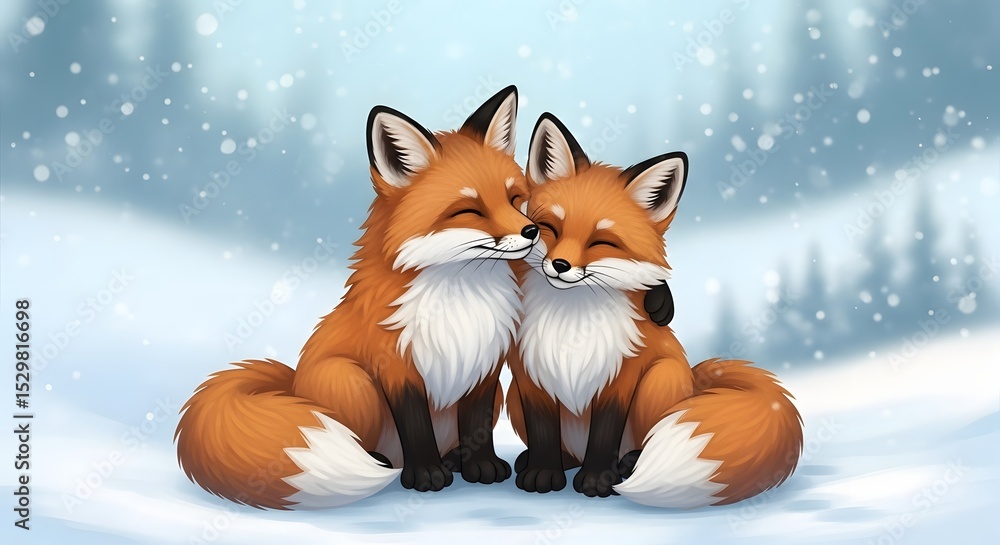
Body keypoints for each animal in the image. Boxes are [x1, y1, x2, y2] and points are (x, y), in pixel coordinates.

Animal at [176, 86, 538, 509]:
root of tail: (293, 385)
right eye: (469, 210)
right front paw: (426, 475)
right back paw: (385, 463)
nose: (532, 232)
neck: (460, 294)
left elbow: (476, 424)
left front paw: (481, 466)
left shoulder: (484, 366)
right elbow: (416, 426)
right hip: (353, 381)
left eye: (514, 199)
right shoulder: (396, 366)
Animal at [506, 113, 803, 507]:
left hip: (659, 379)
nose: (559, 265)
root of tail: (694, 381)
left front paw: (598, 480)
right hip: (513, 396)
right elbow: (542, 431)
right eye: (548, 228)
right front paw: (543, 472)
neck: (572, 318)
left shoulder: (620, 375)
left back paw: (628, 463)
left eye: (602, 242)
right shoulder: (530, 372)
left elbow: (605, 433)